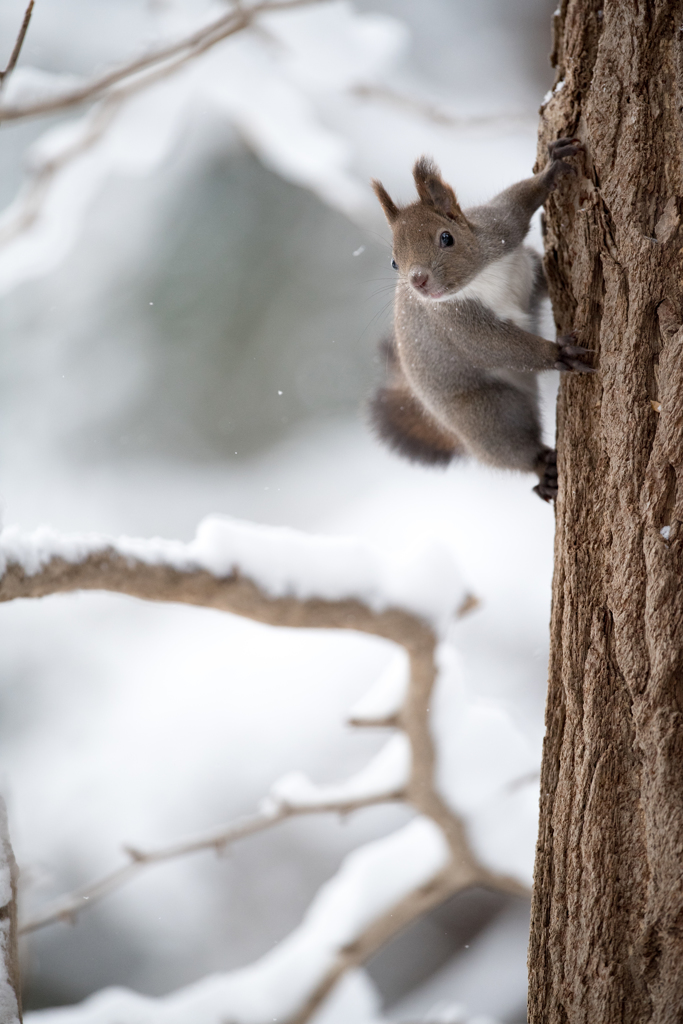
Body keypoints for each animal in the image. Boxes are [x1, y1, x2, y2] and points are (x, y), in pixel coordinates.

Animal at [366, 139, 593, 499]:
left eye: (446, 237)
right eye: (393, 261)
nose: (418, 281)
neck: (477, 278)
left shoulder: (497, 226)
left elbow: (518, 202)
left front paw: (552, 168)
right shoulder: (454, 323)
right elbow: (497, 346)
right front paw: (559, 353)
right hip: (488, 414)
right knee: (511, 448)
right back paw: (543, 470)